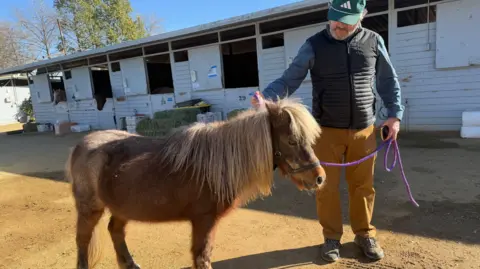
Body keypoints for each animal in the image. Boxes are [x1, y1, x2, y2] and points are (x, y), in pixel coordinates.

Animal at [67, 97, 328, 268]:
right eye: (292, 140)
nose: (319, 177)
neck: (216, 163)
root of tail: (82, 144)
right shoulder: (204, 220)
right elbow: (202, 256)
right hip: (90, 208)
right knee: (82, 239)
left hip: (122, 208)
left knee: (115, 231)